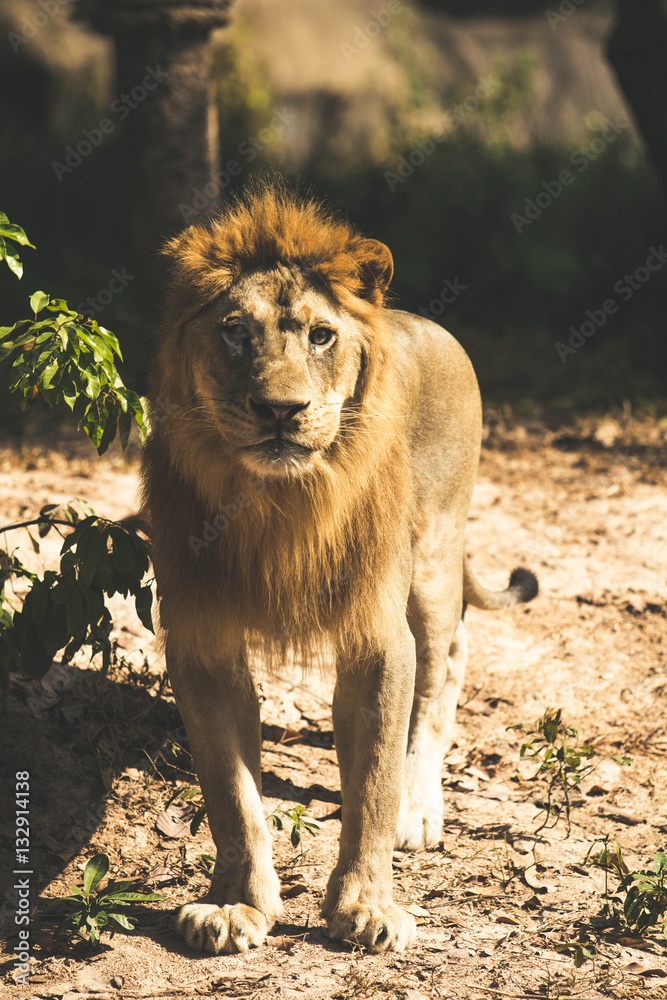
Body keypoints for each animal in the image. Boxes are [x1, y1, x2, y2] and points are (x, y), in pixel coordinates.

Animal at [140, 183, 537, 955]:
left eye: (321, 336)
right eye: (234, 332)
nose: (280, 410)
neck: (276, 504)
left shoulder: (377, 634)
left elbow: (373, 784)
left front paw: (368, 903)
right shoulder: (203, 638)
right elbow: (232, 794)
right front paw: (234, 906)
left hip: (433, 558)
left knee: (445, 661)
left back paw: (419, 807)